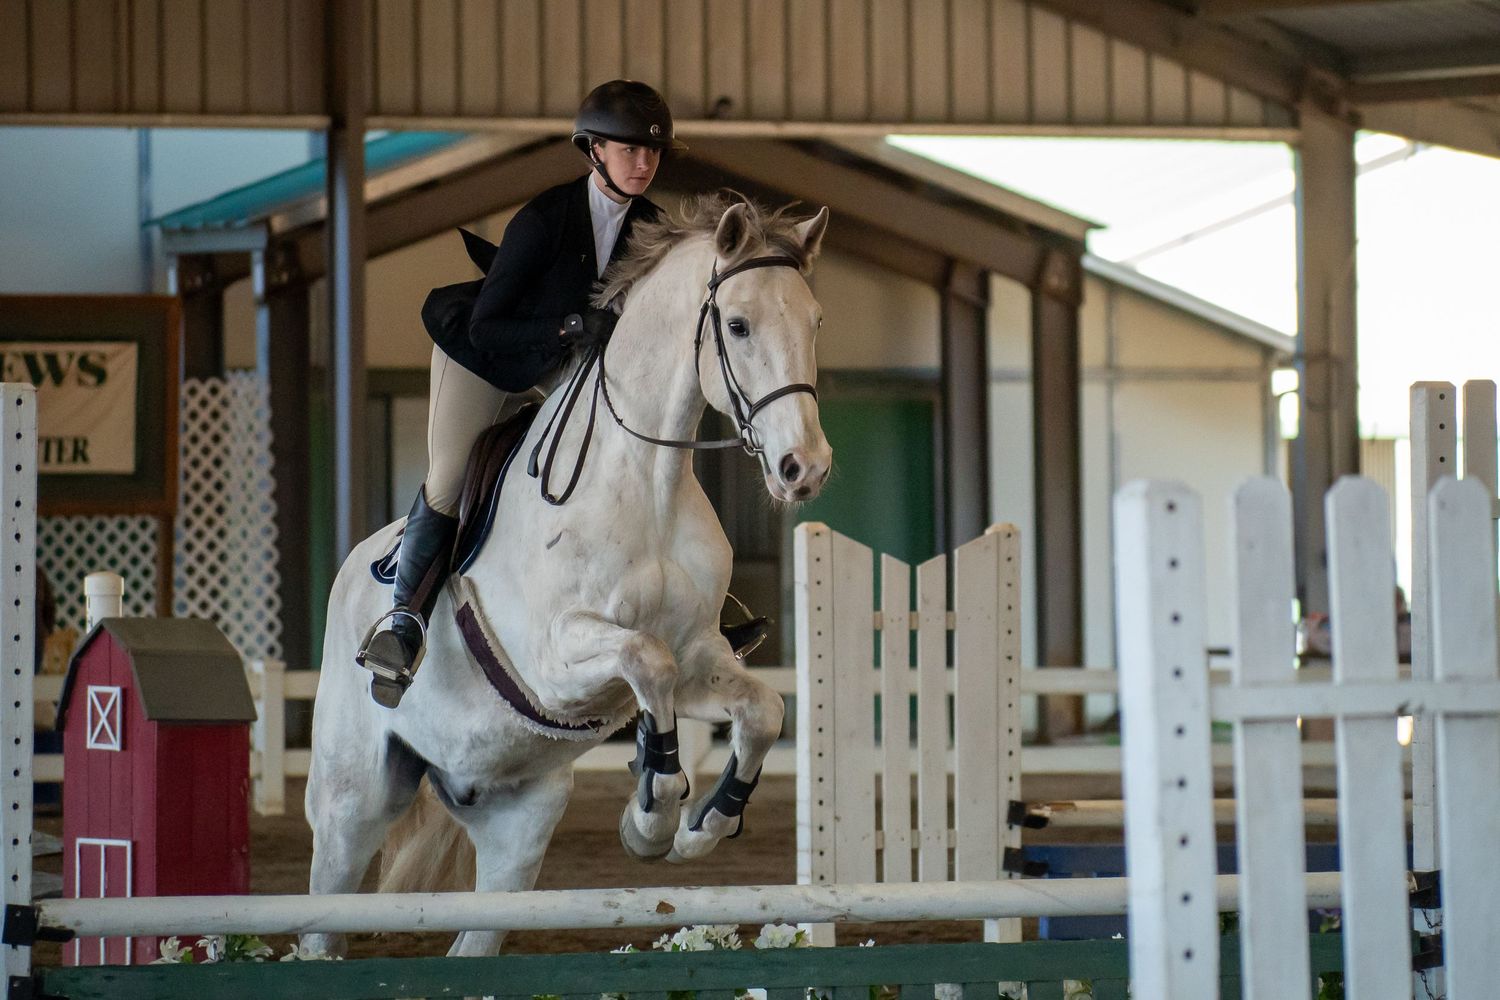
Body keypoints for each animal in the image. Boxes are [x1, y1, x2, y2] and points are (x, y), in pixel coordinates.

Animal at [302, 194, 832, 959]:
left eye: (815, 321)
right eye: (737, 325)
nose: (804, 468)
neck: (647, 479)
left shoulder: (702, 653)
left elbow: (759, 707)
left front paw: (701, 825)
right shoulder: (554, 659)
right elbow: (647, 657)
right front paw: (653, 813)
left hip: (516, 826)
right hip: (352, 806)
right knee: (325, 914)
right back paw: (393, 644)